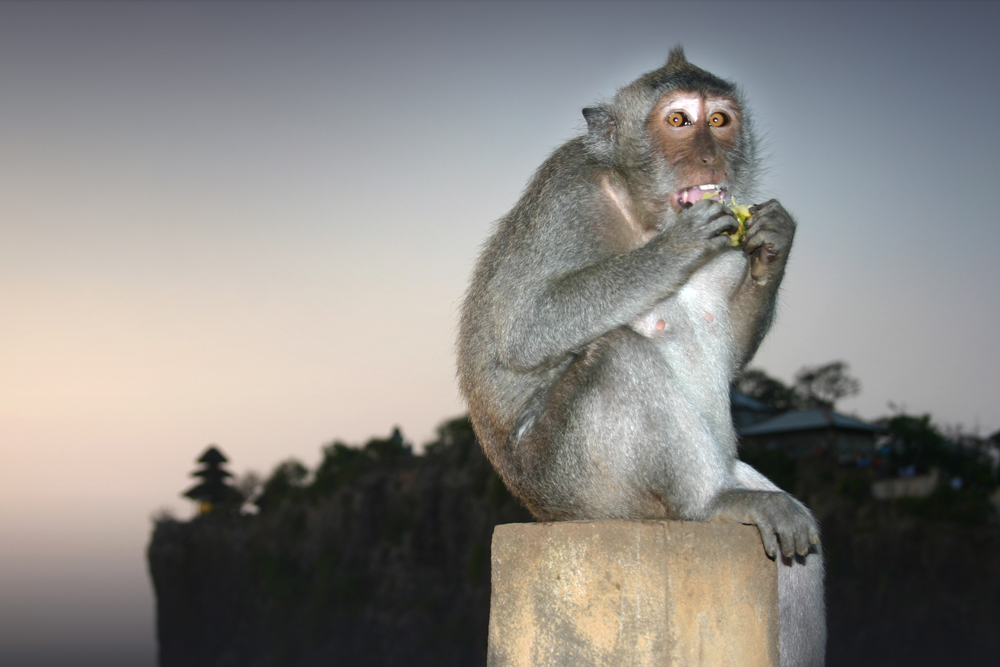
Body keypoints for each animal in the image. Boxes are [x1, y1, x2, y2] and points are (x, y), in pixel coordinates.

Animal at [458, 48, 824, 667]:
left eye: (719, 120)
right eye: (678, 120)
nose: (709, 154)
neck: (641, 208)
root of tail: (539, 511)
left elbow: (729, 351)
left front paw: (774, 241)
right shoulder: (568, 195)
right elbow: (525, 325)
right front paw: (678, 247)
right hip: (579, 489)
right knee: (616, 355)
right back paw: (712, 503)